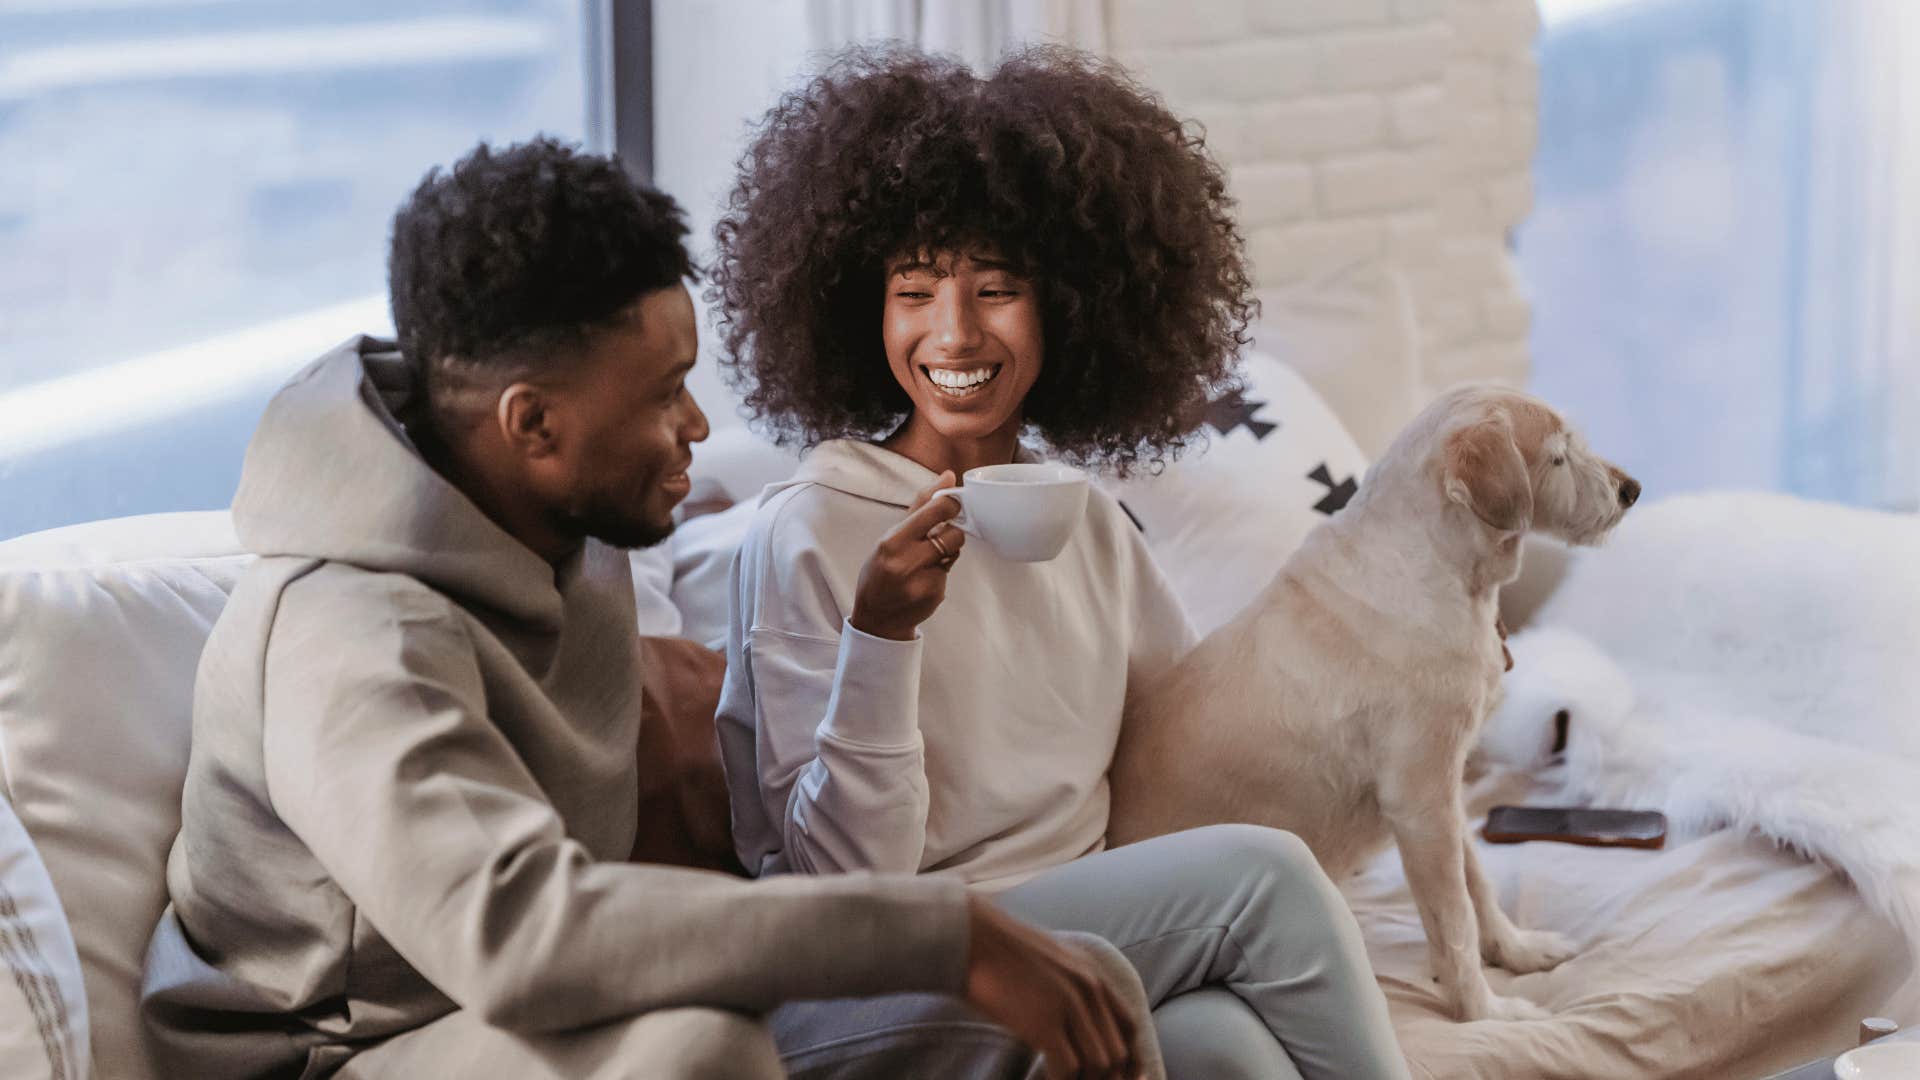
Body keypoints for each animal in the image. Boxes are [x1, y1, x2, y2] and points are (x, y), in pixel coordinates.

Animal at [1113, 384, 1635, 1014]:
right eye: (1559, 456)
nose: (1633, 490)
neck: (1445, 570)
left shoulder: (1445, 789)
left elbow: (1478, 884)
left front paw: (1515, 951)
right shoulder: (1420, 801)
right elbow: (1454, 919)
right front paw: (1483, 1010)